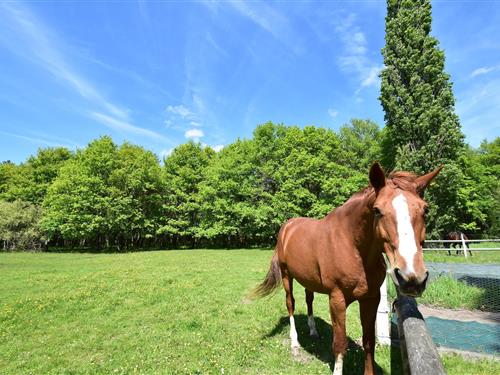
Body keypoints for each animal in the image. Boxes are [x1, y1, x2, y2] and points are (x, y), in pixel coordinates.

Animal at [254, 164, 442, 375]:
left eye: (425, 210)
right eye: (377, 210)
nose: (412, 278)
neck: (352, 245)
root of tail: (287, 227)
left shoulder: (371, 299)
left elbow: (368, 341)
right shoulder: (337, 299)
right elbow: (339, 343)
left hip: (308, 280)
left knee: (309, 301)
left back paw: (313, 331)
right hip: (287, 276)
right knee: (290, 304)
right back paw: (295, 343)